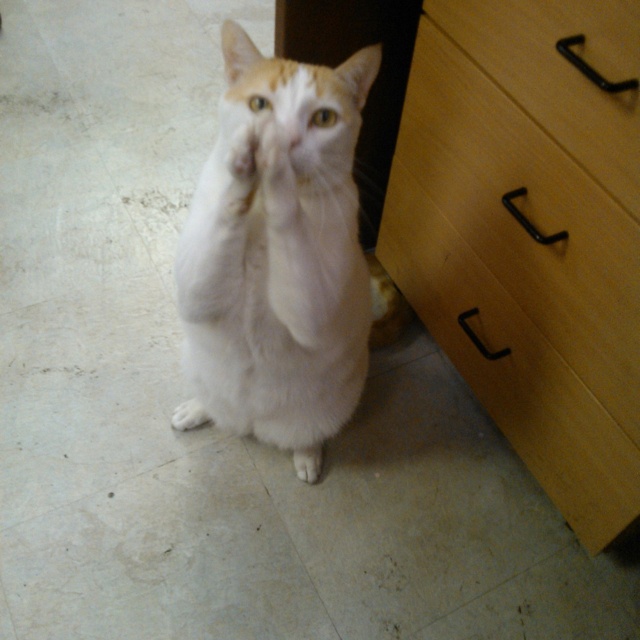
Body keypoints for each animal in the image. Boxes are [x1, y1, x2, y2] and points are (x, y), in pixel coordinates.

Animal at [170, 20, 380, 482]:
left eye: (324, 117)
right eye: (259, 104)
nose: (285, 137)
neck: (260, 212)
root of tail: (251, 422)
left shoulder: (311, 311)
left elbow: (291, 223)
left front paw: (276, 166)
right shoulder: (196, 290)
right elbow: (223, 218)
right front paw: (243, 164)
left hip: (326, 406)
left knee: (309, 434)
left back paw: (307, 457)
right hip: (195, 367)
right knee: (214, 407)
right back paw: (195, 410)